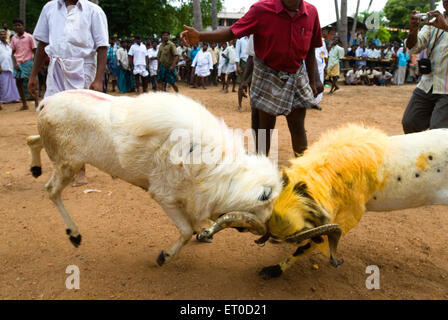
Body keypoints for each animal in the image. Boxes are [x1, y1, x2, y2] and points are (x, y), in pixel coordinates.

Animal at [26, 89, 280, 264]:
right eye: (262, 209)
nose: (267, 238)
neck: (221, 172)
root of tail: (46, 102)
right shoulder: (165, 196)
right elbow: (185, 231)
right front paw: (164, 257)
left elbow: (193, 225)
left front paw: (202, 233)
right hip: (68, 163)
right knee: (52, 190)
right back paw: (74, 234)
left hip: (56, 151)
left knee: (32, 141)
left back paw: (35, 168)